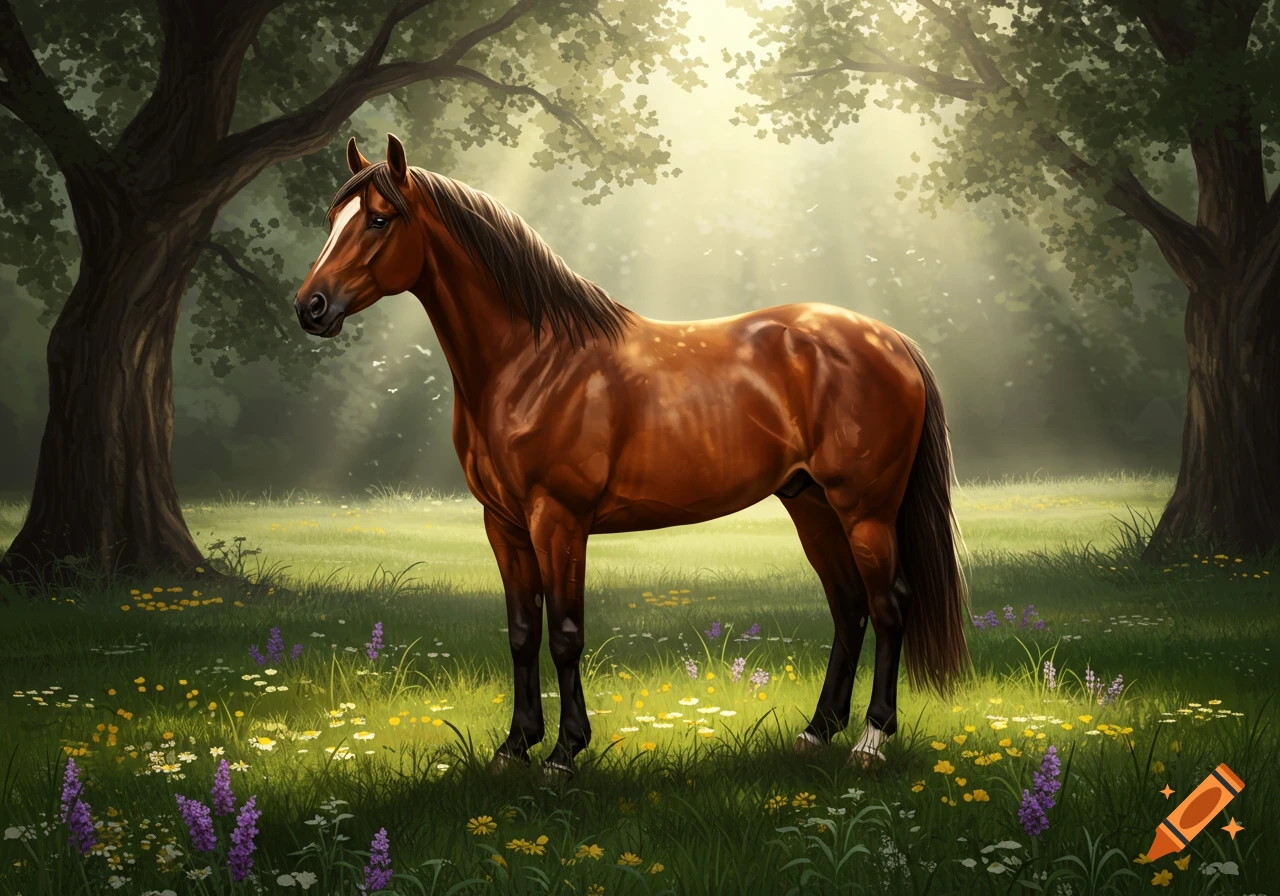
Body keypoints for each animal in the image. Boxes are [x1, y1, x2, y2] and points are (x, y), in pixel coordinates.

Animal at [294, 133, 970, 778]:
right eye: (332, 216)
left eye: (379, 219)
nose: (310, 307)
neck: (531, 362)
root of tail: (890, 339)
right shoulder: (504, 525)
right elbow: (521, 633)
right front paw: (514, 747)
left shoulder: (558, 519)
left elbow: (565, 634)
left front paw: (564, 754)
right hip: (812, 505)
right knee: (849, 607)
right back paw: (816, 731)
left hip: (865, 511)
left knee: (888, 606)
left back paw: (871, 741)